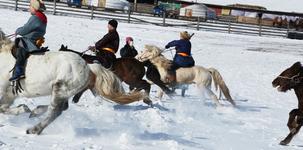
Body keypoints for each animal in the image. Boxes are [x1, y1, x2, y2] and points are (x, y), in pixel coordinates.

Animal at [0, 28, 146, 134]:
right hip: (63, 91)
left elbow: (2, 108)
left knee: (55, 111)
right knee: (62, 107)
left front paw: (22, 109)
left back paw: (34, 129)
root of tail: (89, 66)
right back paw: (35, 112)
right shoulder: (9, 95)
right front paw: (23, 109)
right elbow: (3, 108)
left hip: (60, 89)